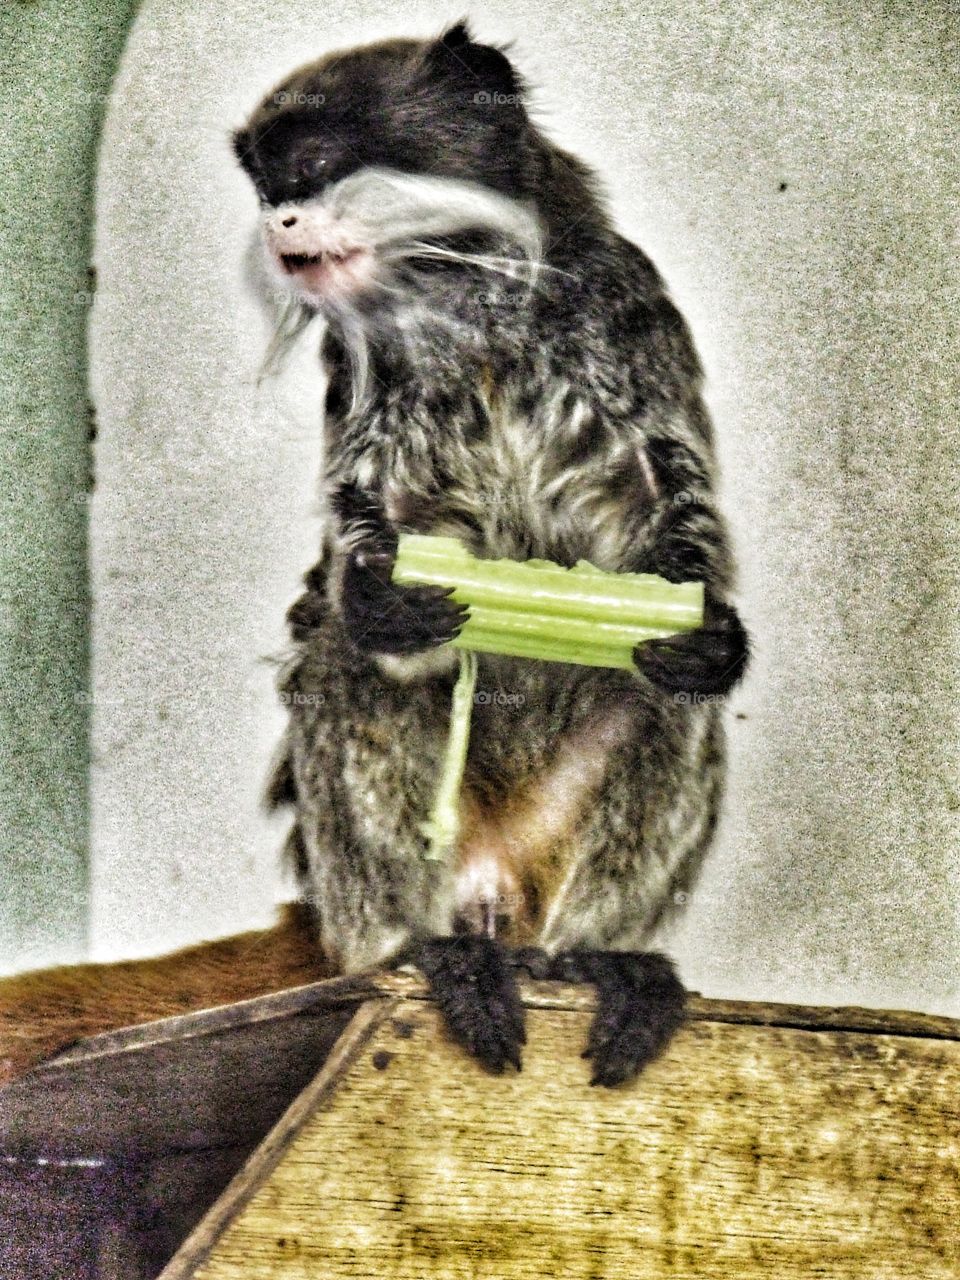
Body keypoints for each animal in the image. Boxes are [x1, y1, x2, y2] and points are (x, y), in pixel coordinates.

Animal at [231, 19, 749, 1089]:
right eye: (263, 187)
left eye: (307, 170)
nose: (278, 225)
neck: (471, 315)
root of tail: (497, 886)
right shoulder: (365, 373)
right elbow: (364, 533)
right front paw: (379, 601)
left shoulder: (626, 313)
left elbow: (671, 495)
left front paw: (713, 635)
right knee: (343, 673)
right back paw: (433, 948)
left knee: (660, 700)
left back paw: (595, 954)